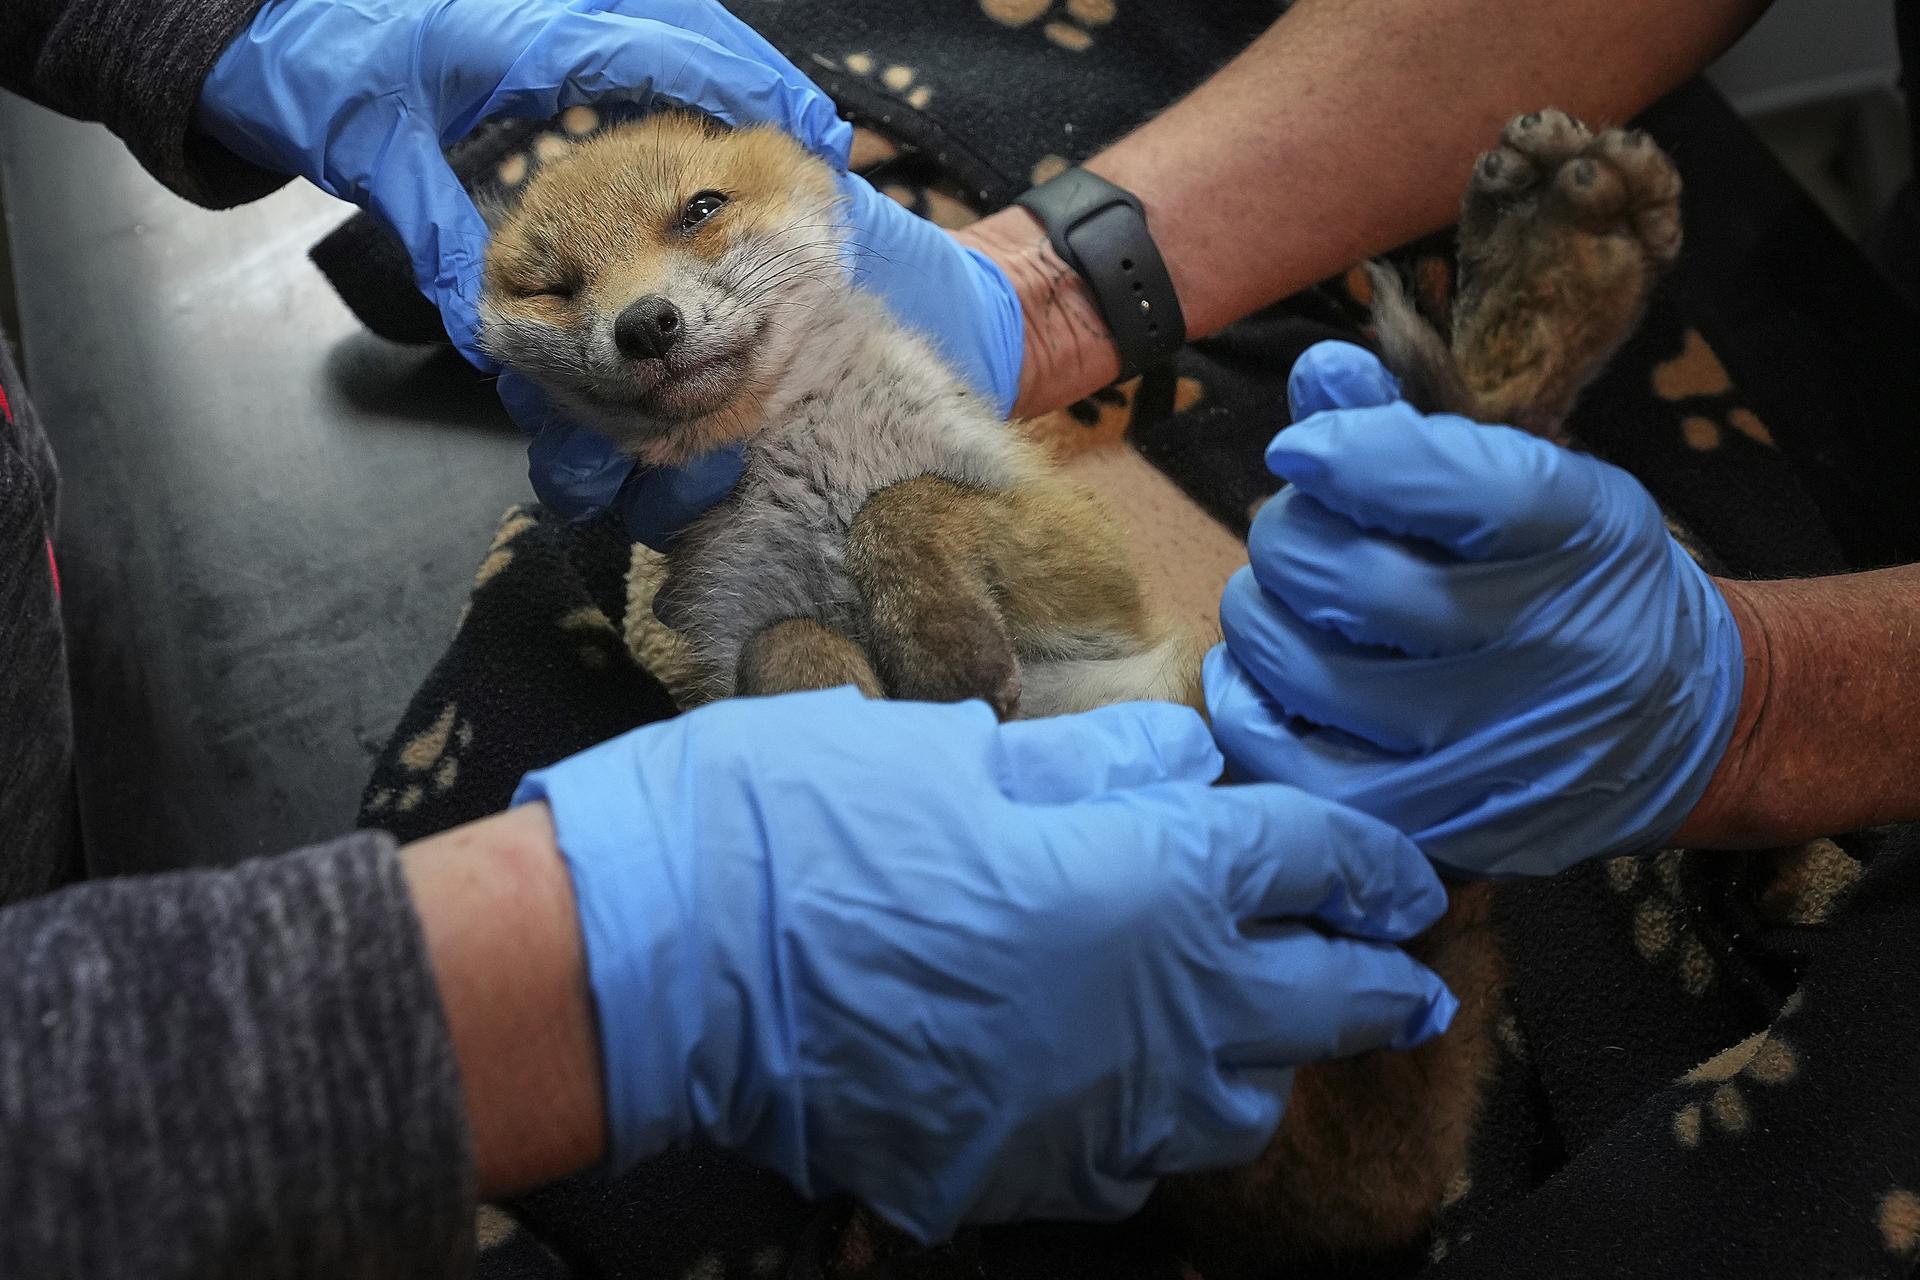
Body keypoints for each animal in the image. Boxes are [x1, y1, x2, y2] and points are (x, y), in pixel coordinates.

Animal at [478, 107, 1682, 1275]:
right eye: (556, 286)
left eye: (700, 209)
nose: (644, 325)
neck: (798, 461)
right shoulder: (720, 652)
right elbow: (785, 643)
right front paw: (861, 731)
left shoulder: (1079, 558)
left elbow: (905, 507)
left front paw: (936, 650)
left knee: (1485, 448)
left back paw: (1568, 246)